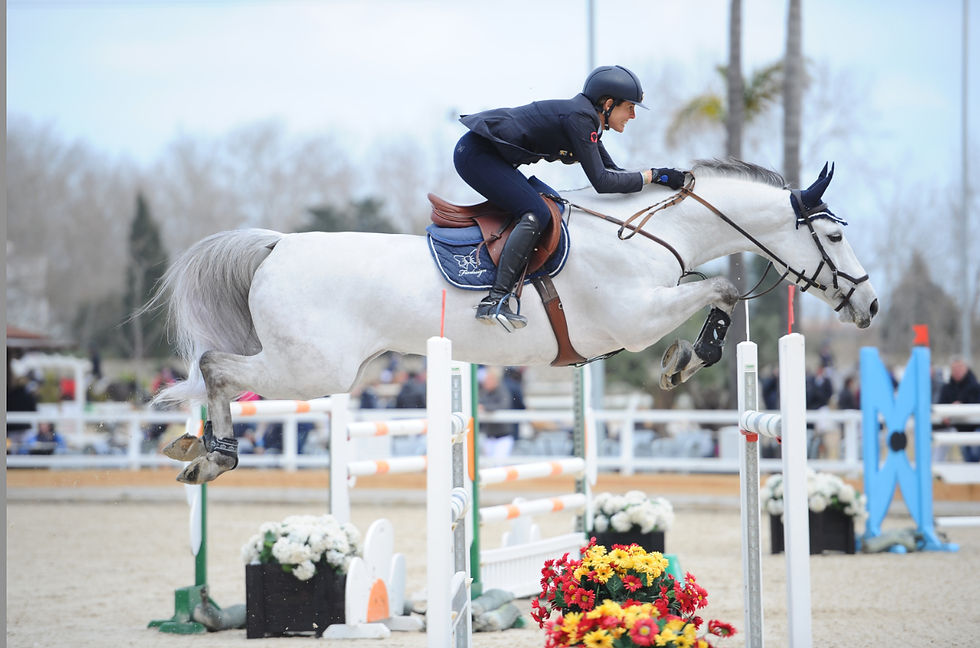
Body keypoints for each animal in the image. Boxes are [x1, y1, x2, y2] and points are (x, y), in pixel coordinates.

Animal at [153, 159, 878, 484]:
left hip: (325, 369)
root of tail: (278, 245)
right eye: (836, 239)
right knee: (215, 368)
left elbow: (722, 290)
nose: (870, 306)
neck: (651, 231)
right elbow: (723, 287)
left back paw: (201, 448)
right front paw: (686, 359)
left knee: (215, 372)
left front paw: (687, 358)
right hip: (311, 368)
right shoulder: (634, 318)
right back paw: (213, 453)